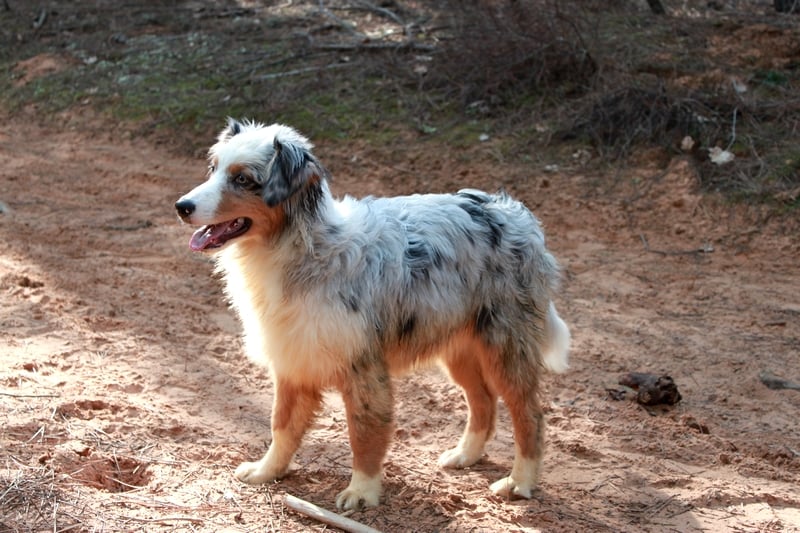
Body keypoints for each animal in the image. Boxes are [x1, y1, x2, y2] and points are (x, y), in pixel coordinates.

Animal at [178, 118, 572, 510]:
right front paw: (266, 472)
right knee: (483, 402)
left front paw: (361, 491)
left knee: (529, 414)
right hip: (458, 349)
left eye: (243, 179)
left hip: (505, 348)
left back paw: (519, 482)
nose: (182, 205)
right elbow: (282, 426)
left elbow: (364, 434)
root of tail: (514, 213)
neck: (304, 251)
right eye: (213, 169)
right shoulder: (293, 360)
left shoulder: (363, 368)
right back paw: (465, 455)